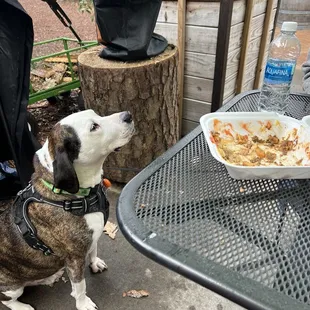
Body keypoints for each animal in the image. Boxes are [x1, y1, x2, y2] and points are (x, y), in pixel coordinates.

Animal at [0, 109, 135, 310]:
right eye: (94, 127)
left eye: (97, 114)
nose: (128, 115)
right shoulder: (74, 258)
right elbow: (80, 286)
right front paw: (83, 303)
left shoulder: (91, 239)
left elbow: (94, 250)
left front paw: (95, 263)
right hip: (11, 288)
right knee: (7, 298)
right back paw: (22, 306)